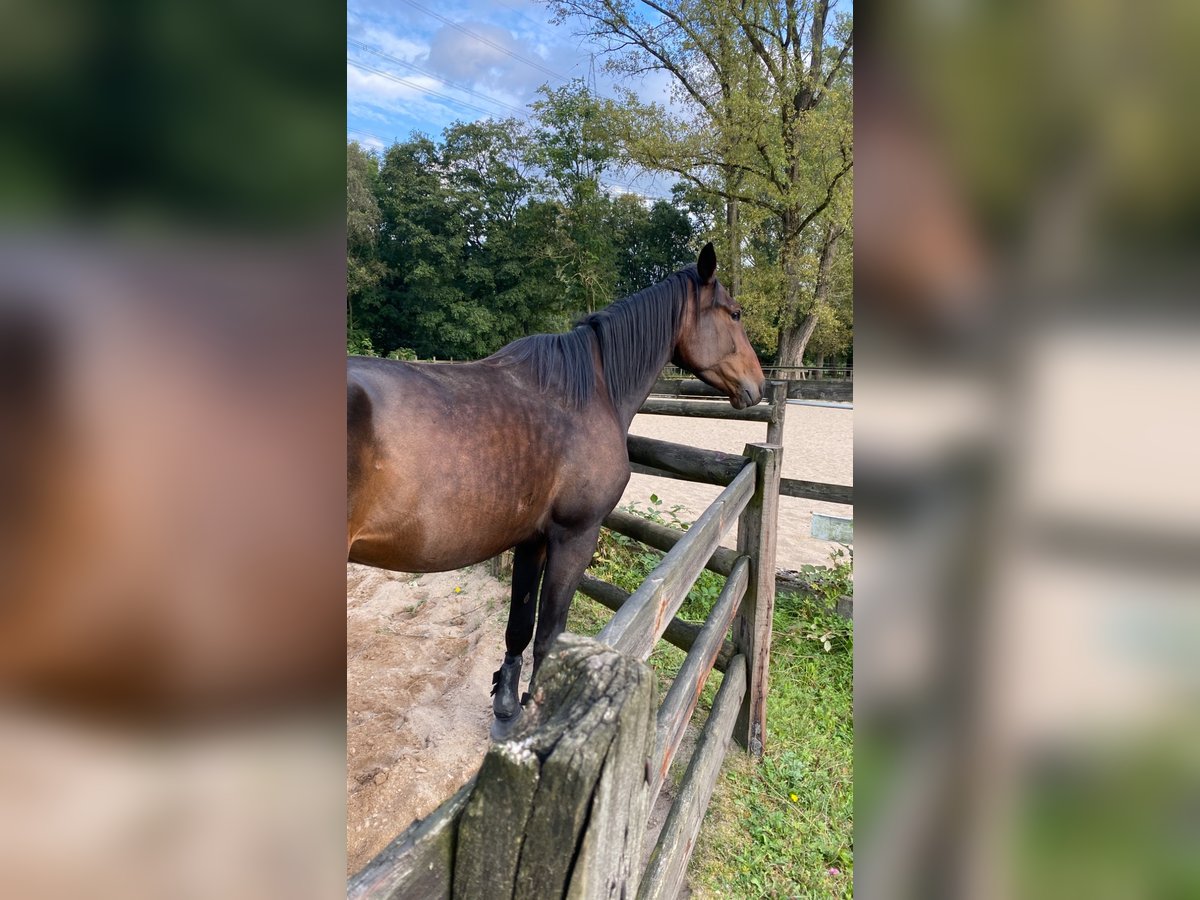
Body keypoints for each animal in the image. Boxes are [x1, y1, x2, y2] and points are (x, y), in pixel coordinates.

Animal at [348, 243, 763, 734]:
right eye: (735, 313)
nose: (758, 385)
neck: (589, 393)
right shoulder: (575, 536)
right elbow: (549, 637)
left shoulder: (533, 539)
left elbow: (519, 626)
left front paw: (507, 707)